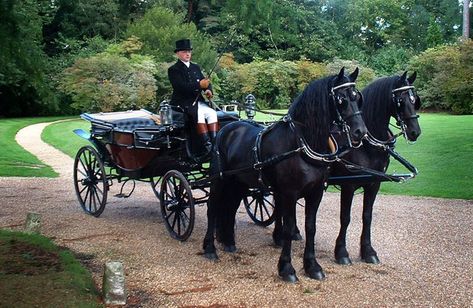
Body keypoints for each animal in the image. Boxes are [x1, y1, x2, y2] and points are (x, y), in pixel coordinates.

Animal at [201, 67, 366, 282]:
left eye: (357, 97)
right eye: (341, 99)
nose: (360, 132)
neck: (301, 144)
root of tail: (227, 128)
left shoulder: (315, 193)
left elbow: (310, 227)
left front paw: (312, 266)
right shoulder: (288, 194)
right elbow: (288, 227)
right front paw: (287, 268)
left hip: (239, 182)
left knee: (230, 207)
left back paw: (228, 241)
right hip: (219, 179)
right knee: (212, 208)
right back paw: (210, 248)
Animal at [328, 71, 420, 264]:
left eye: (414, 99)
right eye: (400, 100)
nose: (415, 131)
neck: (366, 144)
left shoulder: (374, 183)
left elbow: (367, 216)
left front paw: (368, 251)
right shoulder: (348, 185)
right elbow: (345, 218)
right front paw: (341, 252)